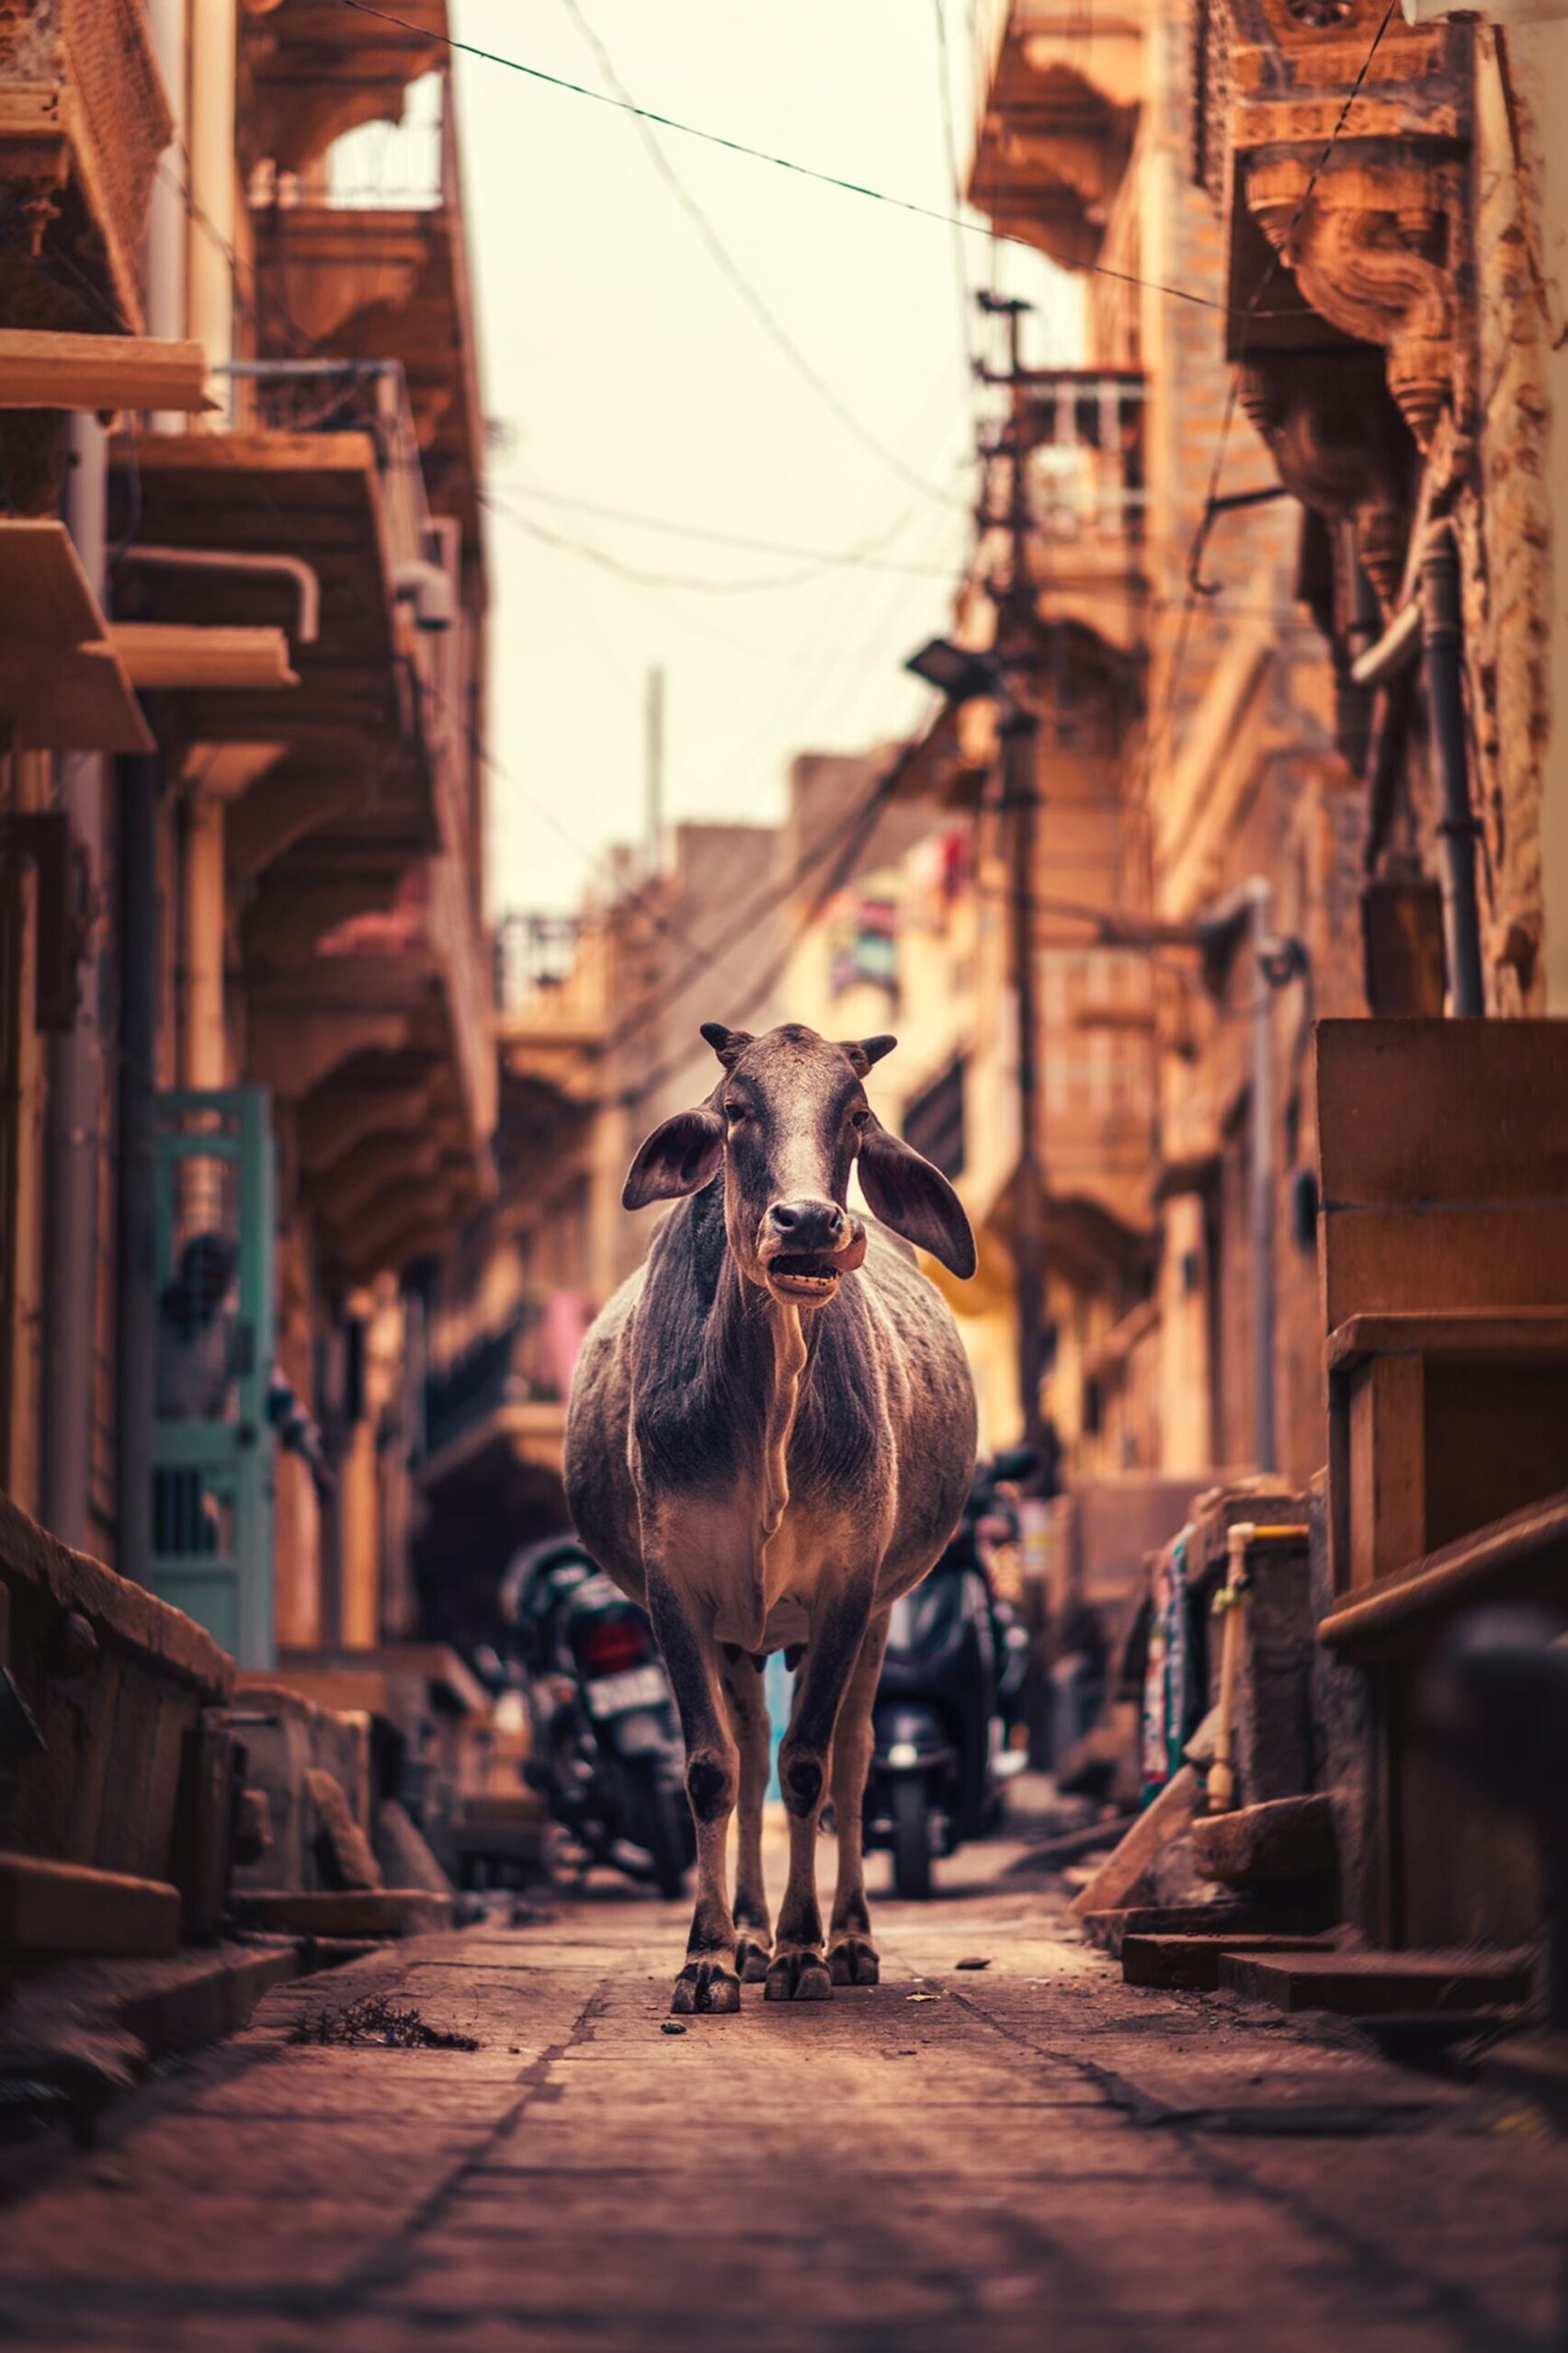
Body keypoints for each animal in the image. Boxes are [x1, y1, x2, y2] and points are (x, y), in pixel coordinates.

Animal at [562, 1021, 979, 2014]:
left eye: (856, 1114)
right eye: (734, 1110)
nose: (808, 1224)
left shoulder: (848, 1586)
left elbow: (810, 1768)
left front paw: (802, 1950)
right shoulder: (673, 1587)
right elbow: (713, 1770)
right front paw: (710, 1955)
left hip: (876, 1616)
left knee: (853, 1761)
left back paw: (849, 1939)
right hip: (737, 1636)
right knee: (748, 1755)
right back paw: (747, 1933)